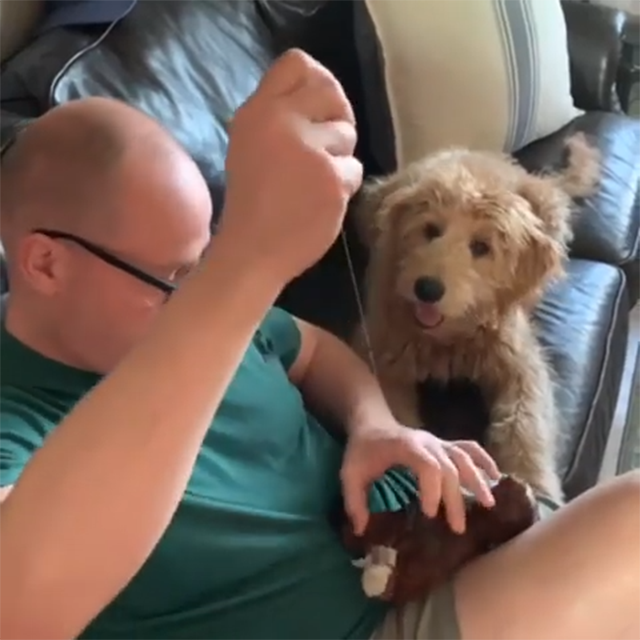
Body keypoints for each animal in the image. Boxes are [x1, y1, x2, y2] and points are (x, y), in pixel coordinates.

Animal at [352, 134, 600, 502]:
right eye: (430, 230)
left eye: (482, 247)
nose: (427, 288)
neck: (449, 339)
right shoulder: (381, 352)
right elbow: (393, 412)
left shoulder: (521, 365)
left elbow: (525, 422)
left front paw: (536, 483)